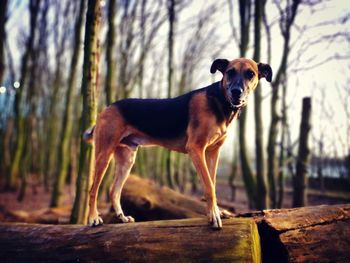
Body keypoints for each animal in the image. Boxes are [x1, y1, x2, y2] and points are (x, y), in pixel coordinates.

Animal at [86, 57, 272, 229]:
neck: (220, 101)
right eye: (230, 72)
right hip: (104, 154)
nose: (236, 92)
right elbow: (209, 187)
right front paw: (213, 215)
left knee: (114, 191)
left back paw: (122, 217)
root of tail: (107, 107)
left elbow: (212, 183)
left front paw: (216, 211)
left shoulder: (213, 152)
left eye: (250, 74)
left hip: (127, 160)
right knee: (92, 190)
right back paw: (94, 218)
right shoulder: (196, 149)